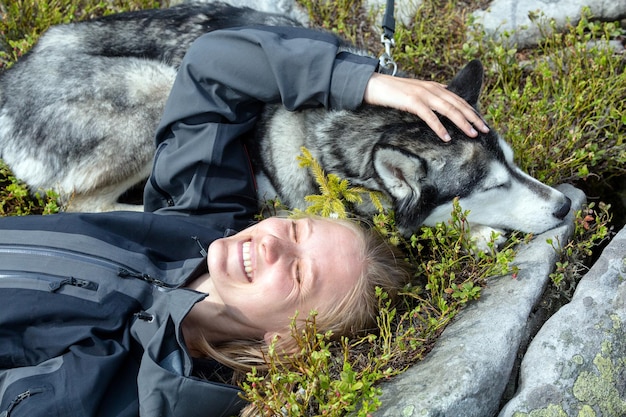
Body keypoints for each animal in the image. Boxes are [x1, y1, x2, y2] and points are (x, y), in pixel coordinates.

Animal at [0, 2, 572, 237]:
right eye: (491, 187)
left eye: (516, 166)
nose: (566, 206)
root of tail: (13, 74)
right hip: (159, 89)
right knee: (84, 205)